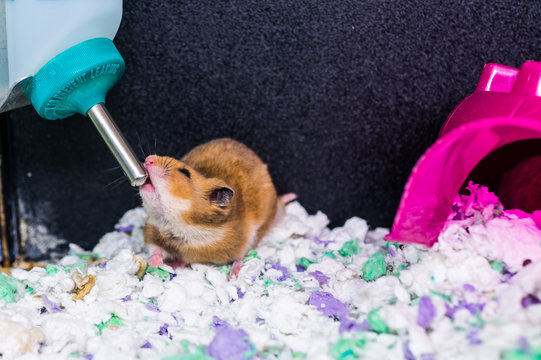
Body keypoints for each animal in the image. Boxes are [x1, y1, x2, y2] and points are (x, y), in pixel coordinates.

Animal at [139, 139, 292, 266]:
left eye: (185, 172)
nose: (148, 159)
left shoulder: (244, 240)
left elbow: (240, 256)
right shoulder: (151, 230)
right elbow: (155, 249)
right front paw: (155, 264)